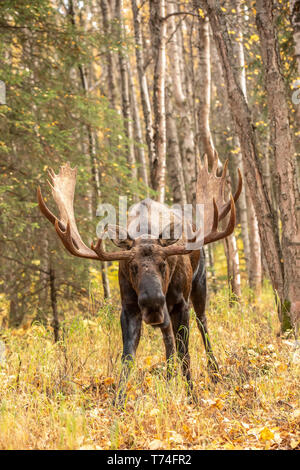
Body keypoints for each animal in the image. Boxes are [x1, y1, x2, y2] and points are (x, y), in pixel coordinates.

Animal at [37, 153, 241, 404]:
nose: (152, 303)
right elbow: (127, 357)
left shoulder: (180, 303)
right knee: (168, 337)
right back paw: (169, 376)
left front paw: (192, 395)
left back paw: (214, 371)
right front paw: (118, 402)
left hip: (199, 283)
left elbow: (186, 354)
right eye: (132, 267)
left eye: (163, 264)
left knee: (203, 324)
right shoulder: (130, 307)